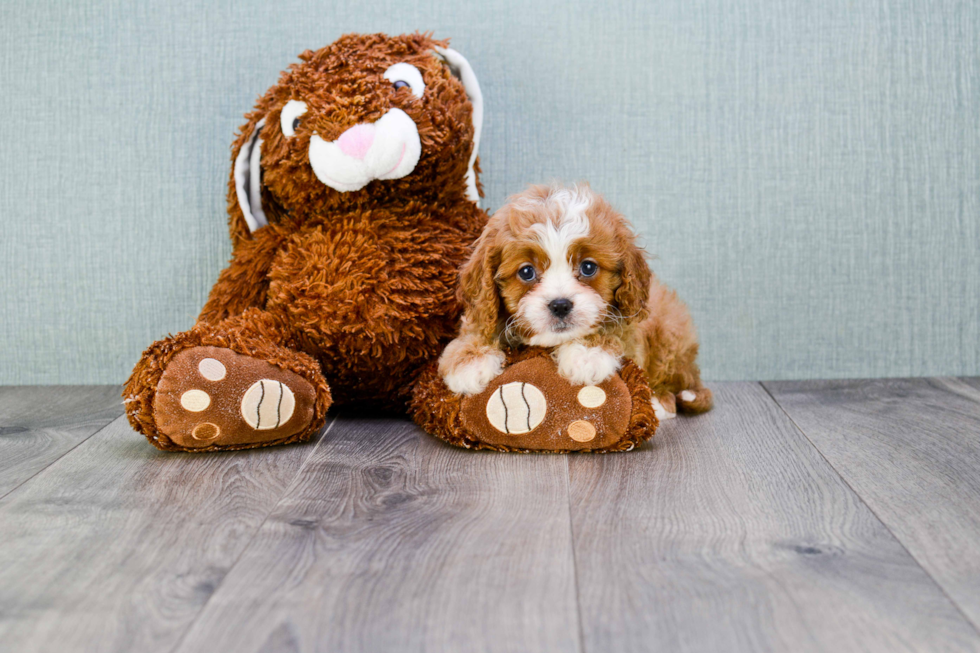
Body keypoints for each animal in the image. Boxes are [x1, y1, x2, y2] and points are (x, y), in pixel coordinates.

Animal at [438, 181, 712, 420]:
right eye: (526, 272)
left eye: (588, 267)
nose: (560, 305)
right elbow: (478, 328)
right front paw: (469, 360)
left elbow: (616, 332)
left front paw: (588, 353)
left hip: (670, 334)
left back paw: (660, 402)